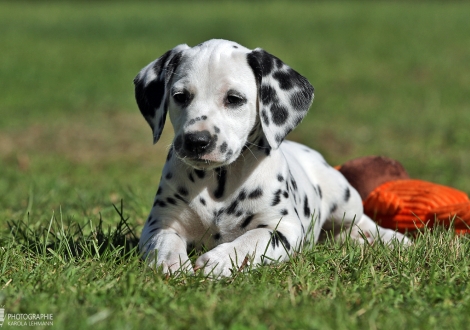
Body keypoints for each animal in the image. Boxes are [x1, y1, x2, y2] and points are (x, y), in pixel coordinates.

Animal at [133, 38, 408, 278]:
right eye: (180, 96)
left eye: (234, 99)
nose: (196, 141)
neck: (220, 183)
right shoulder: (160, 223)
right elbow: (164, 241)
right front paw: (171, 264)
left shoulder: (284, 227)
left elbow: (253, 239)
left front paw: (220, 260)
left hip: (345, 201)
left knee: (360, 221)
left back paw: (391, 239)